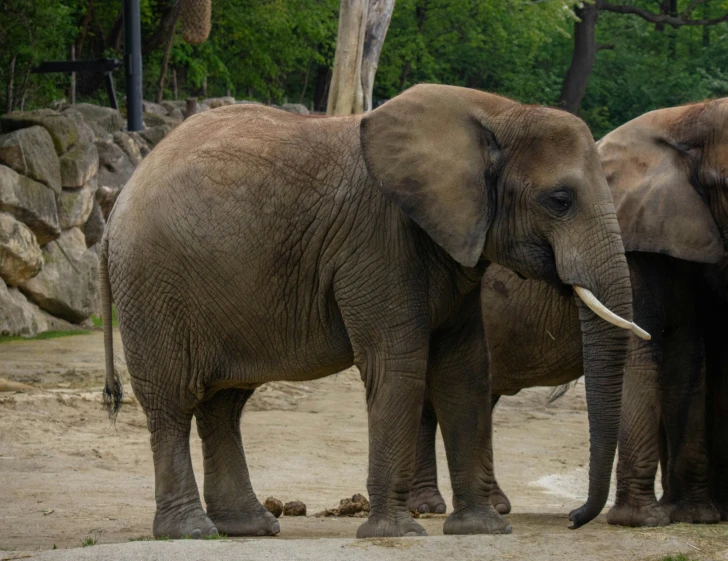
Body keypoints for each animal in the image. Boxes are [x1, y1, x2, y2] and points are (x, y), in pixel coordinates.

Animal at [101, 84, 644, 540]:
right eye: (560, 200)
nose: (573, 518)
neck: (497, 111)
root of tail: (115, 205)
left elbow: (465, 370)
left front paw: (483, 529)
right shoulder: (378, 241)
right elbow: (398, 364)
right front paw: (398, 534)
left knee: (224, 403)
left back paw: (249, 528)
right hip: (153, 284)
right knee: (173, 402)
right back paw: (190, 532)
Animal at [406, 97, 728, 524]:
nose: (573, 517)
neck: (688, 120)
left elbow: (688, 363)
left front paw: (694, 517)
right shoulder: (636, 244)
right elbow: (640, 360)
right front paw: (641, 521)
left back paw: (495, 506)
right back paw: (428, 507)